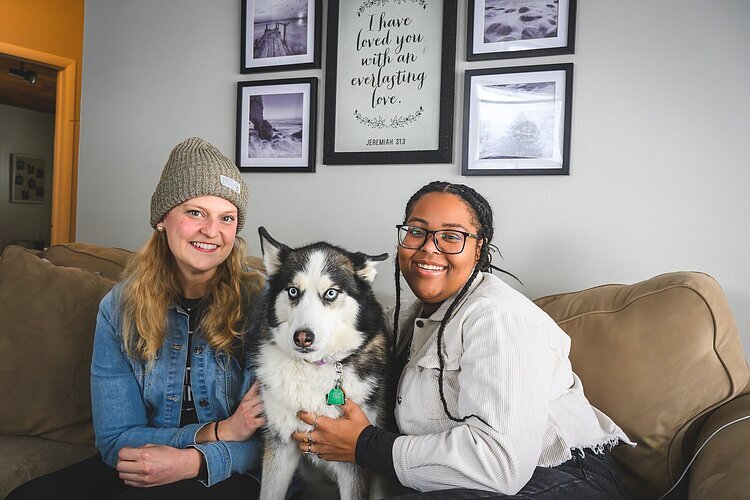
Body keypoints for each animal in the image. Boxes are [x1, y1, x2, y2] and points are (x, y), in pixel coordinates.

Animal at [254, 228, 394, 500]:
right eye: (293, 291)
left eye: (331, 293)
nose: (302, 337)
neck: (313, 367)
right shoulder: (280, 441)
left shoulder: (354, 459)